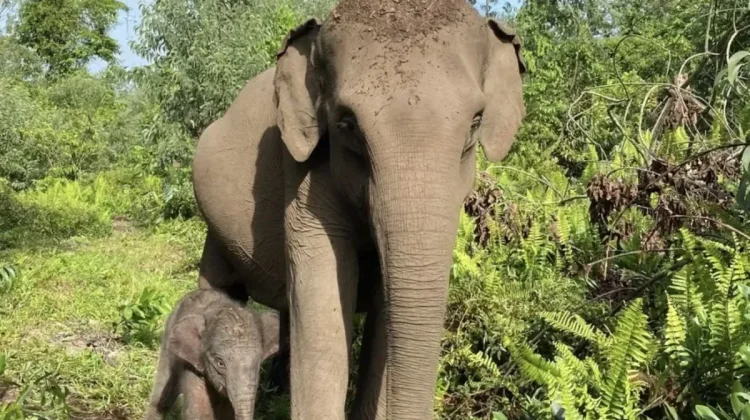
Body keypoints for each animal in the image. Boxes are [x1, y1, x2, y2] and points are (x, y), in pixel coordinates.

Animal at [190, 0, 526, 418]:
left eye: (476, 122)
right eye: (347, 123)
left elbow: (385, 318)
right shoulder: (303, 173)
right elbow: (325, 322)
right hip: (214, 229)